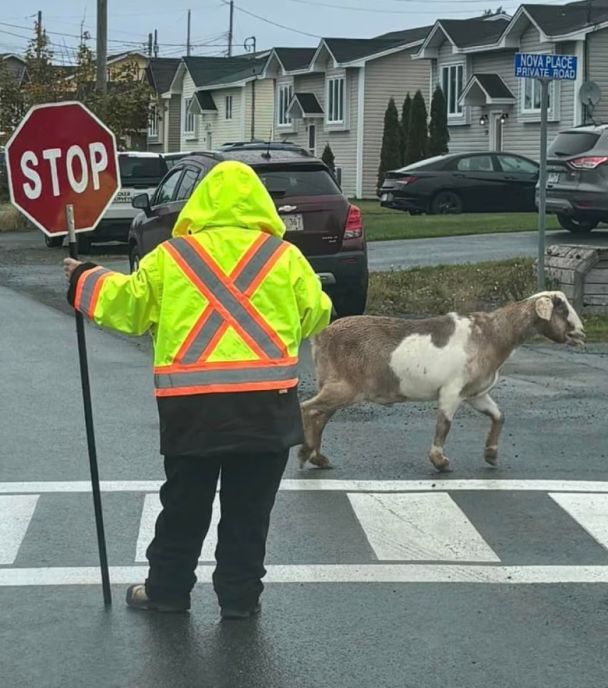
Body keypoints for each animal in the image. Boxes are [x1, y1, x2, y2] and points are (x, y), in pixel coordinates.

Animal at [300, 290, 584, 472]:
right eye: (562, 309)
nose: (581, 333)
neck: (492, 334)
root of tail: (321, 336)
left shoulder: (475, 393)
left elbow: (498, 416)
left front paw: (491, 454)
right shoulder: (451, 390)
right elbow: (444, 424)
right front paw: (440, 461)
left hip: (337, 384)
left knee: (320, 415)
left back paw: (318, 458)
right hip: (344, 386)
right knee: (308, 408)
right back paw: (306, 452)